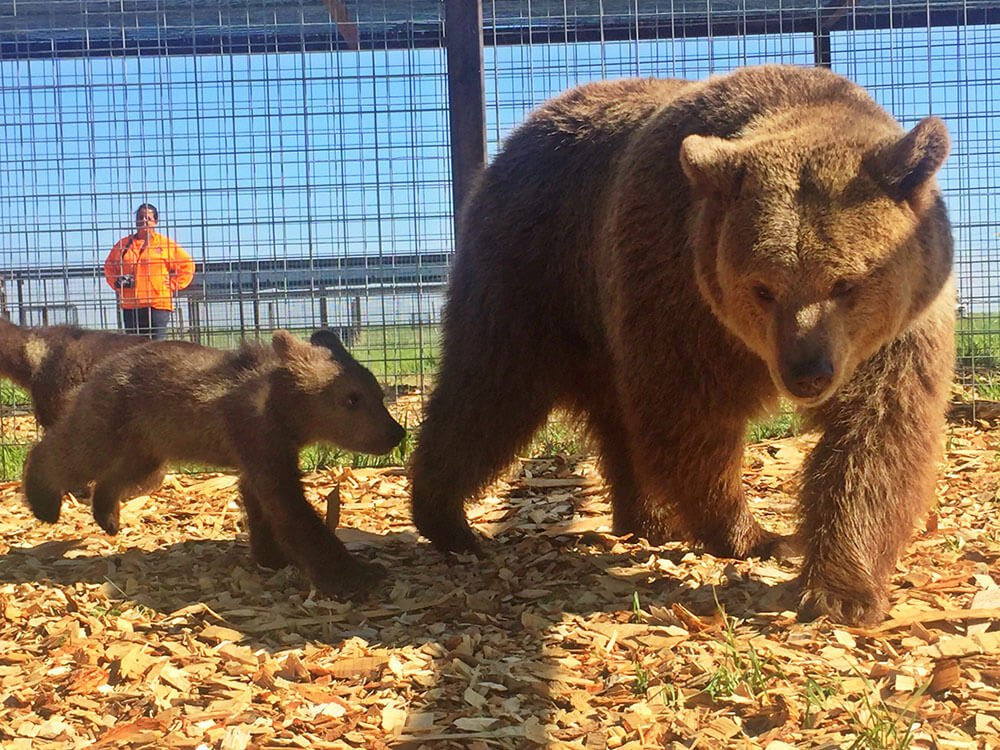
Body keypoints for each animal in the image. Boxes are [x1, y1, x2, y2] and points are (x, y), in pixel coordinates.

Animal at [410, 66, 956, 628]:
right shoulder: (682, 290)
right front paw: (752, 534)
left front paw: (841, 589)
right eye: (763, 287)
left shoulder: (894, 331)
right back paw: (446, 517)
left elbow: (878, 434)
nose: (807, 374)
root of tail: (524, 129)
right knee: (492, 388)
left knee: (609, 417)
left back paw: (648, 519)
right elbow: (691, 420)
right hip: (538, 269)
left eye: (845, 282)